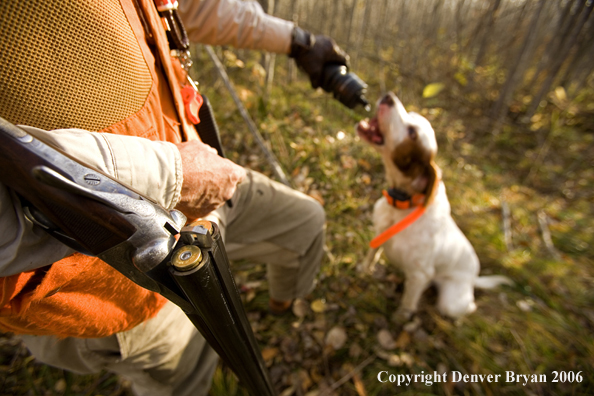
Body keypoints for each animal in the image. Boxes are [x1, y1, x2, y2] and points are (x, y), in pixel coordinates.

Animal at [356, 93, 508, 322]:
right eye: (411, 114)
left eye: (412, 133)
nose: (388, 96)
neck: (401, 205)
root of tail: (473, 278)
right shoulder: (378, 238)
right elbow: (370, 258)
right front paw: (363, 271)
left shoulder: (420, 275)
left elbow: (408, 303)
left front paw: (400, 318)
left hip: (451, 303)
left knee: (468, 307)